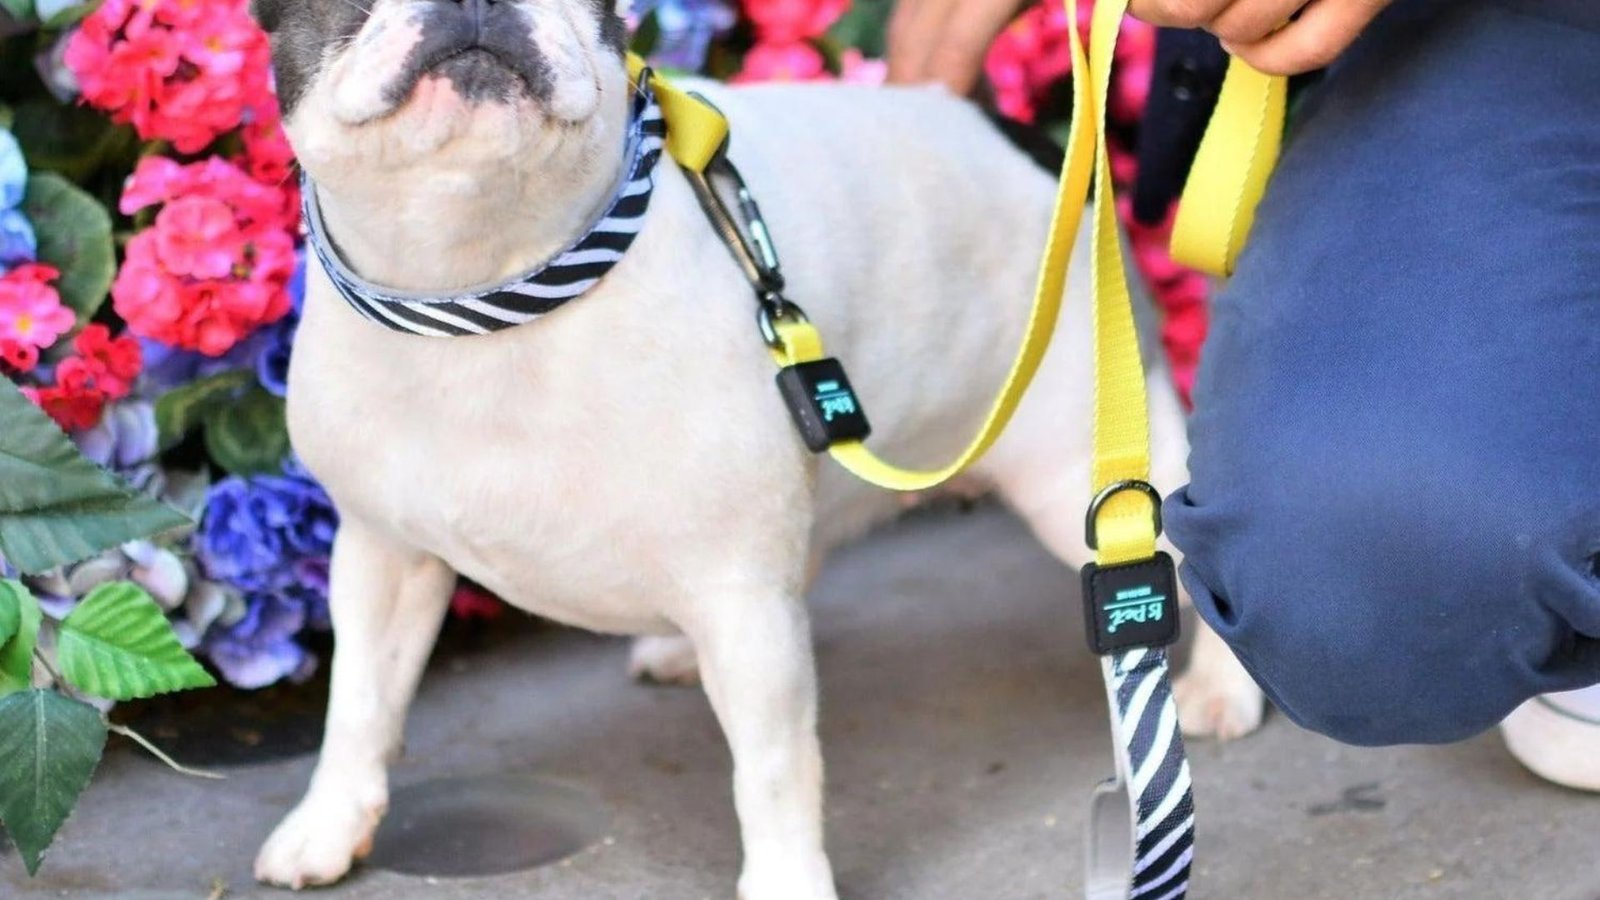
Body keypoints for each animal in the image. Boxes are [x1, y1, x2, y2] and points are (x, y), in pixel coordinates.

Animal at [252, 3, 1260, 890]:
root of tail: (1013, 132)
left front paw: (785, 882)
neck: (486, 282)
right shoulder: (380, 552)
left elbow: (773, 771)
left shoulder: (742, 603)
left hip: (1071, 468)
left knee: (1180, 565)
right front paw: (327, 825)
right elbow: (359, 703)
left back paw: (1224, 692)